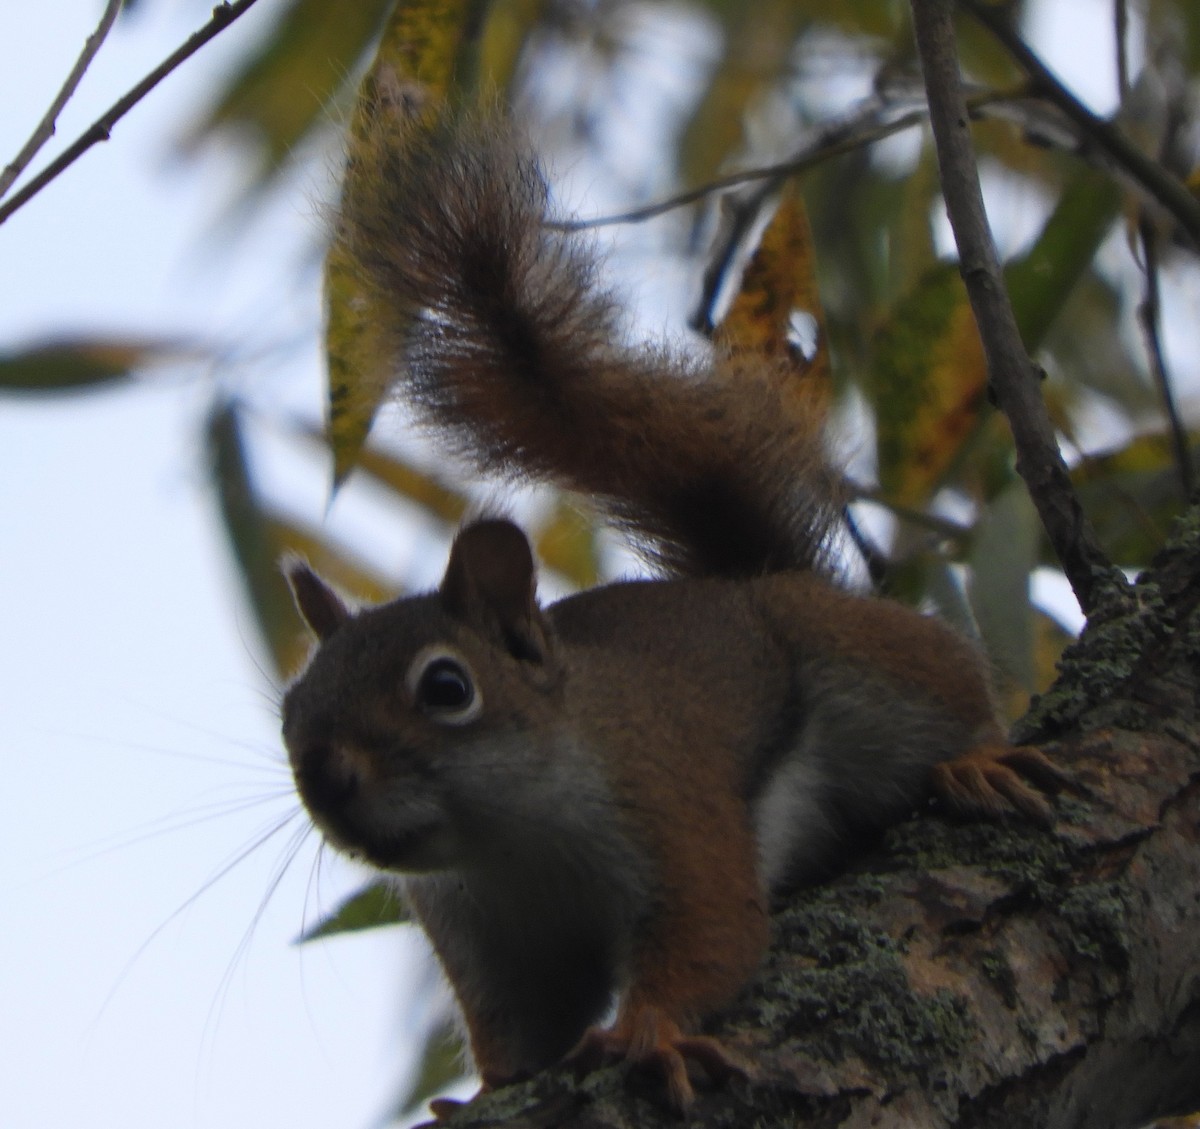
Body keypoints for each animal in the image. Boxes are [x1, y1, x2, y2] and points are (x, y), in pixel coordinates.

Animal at [281, 97, 1058, 1113]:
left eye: (447, 687)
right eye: (290, 710)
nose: (328, 776)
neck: (508, 841)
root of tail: (744, 584)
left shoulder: (672, 805)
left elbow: (712, 929)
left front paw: (648, 1029)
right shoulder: (486, 938)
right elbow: (515, 1031)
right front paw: (483, 1093)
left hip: (865, 663)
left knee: (951, 700)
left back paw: (973, 762)